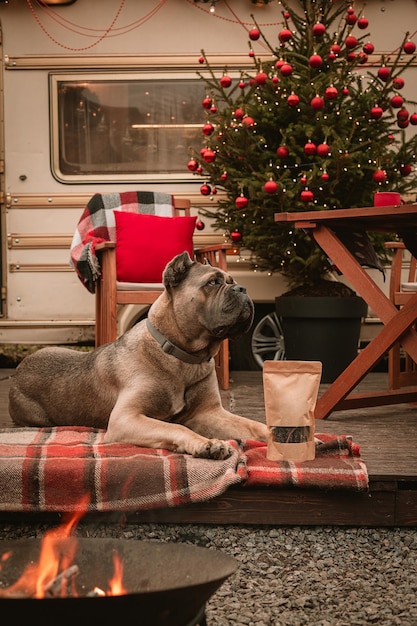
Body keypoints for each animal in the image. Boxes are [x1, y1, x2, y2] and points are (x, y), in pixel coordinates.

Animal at [8, 250, 266, 458]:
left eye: (234, 281)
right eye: (212, 282)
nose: (242, 289)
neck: (183, 356)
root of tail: (18, 371)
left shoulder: (210, 413)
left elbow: (252, 424)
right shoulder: (126, 418)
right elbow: (176, 427)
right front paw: (207, 443)